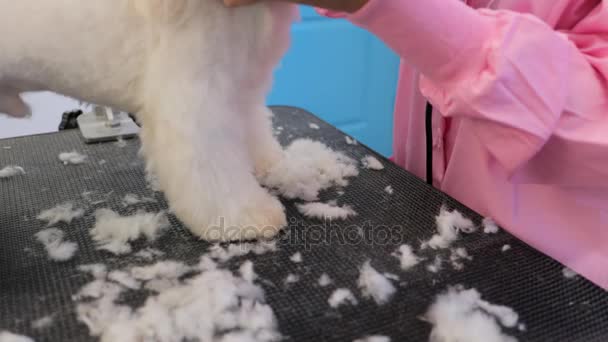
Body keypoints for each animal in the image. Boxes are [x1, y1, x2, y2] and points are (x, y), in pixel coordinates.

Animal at [0, 0, 300, 240]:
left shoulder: (243, 83)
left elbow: (253, 128)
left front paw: (269, 166)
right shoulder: (195, 97)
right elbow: (213, 167)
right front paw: (244, 214)